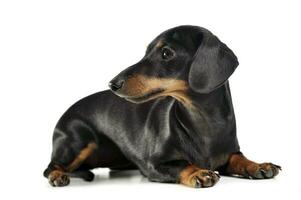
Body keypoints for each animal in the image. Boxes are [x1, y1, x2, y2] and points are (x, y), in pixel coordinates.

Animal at [43, 25, 280, 188]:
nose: (112, 84)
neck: (204, 123)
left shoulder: (229, 154)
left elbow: (239, 158)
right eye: (146, 52)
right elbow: (182, 164)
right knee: (50, 167)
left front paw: (259, 165)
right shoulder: (154, 165)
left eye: (166, 53)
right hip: (80, 142)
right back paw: (58, 176)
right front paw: (198, 172)